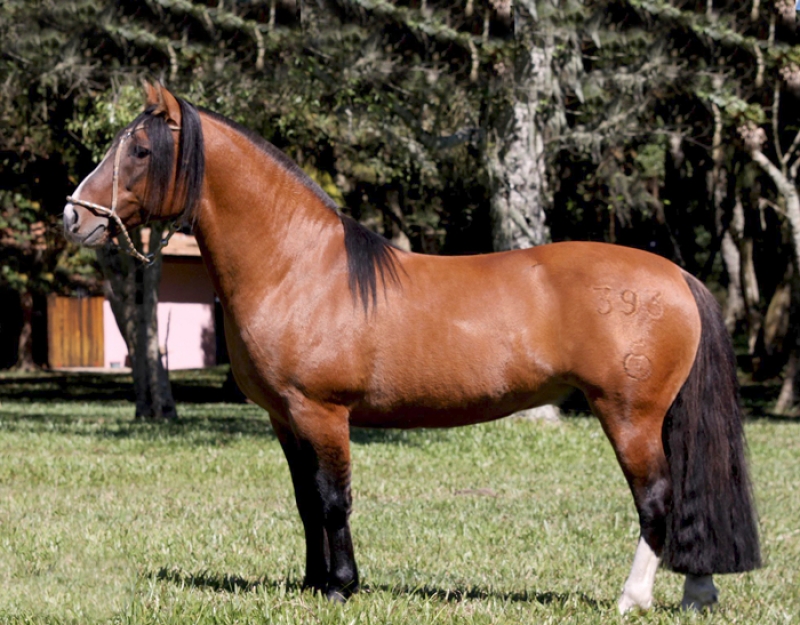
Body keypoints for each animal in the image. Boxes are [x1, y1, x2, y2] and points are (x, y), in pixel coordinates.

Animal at [63, 83, 760, 613]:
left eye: (142, 149)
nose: (74, 216)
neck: (299, 267)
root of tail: (676, 276)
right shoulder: (286, 417)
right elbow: (305, 501)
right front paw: (313, 584)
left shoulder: (322, 412)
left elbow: (333, 499)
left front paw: (341, 588)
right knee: (687, 496)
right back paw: (697, 594)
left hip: (629, 415)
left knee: (658, 498)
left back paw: (632, 598)